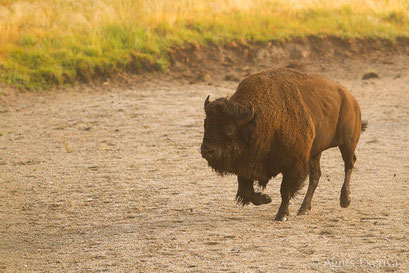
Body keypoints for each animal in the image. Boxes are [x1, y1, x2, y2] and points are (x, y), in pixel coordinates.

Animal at [201, 68, 366, 221]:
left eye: (229, 128)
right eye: (206, 124)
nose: (206, 150)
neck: (258, 120)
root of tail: (351, 99)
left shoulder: (293, 165)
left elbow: (285, 190)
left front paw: (281, 215)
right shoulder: (246, 166)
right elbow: (245, 190)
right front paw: (266, 198)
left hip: (348, 143)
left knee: (349, 164)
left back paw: (345, 200)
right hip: (315, 152)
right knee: (316, 176)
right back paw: (304, 208)